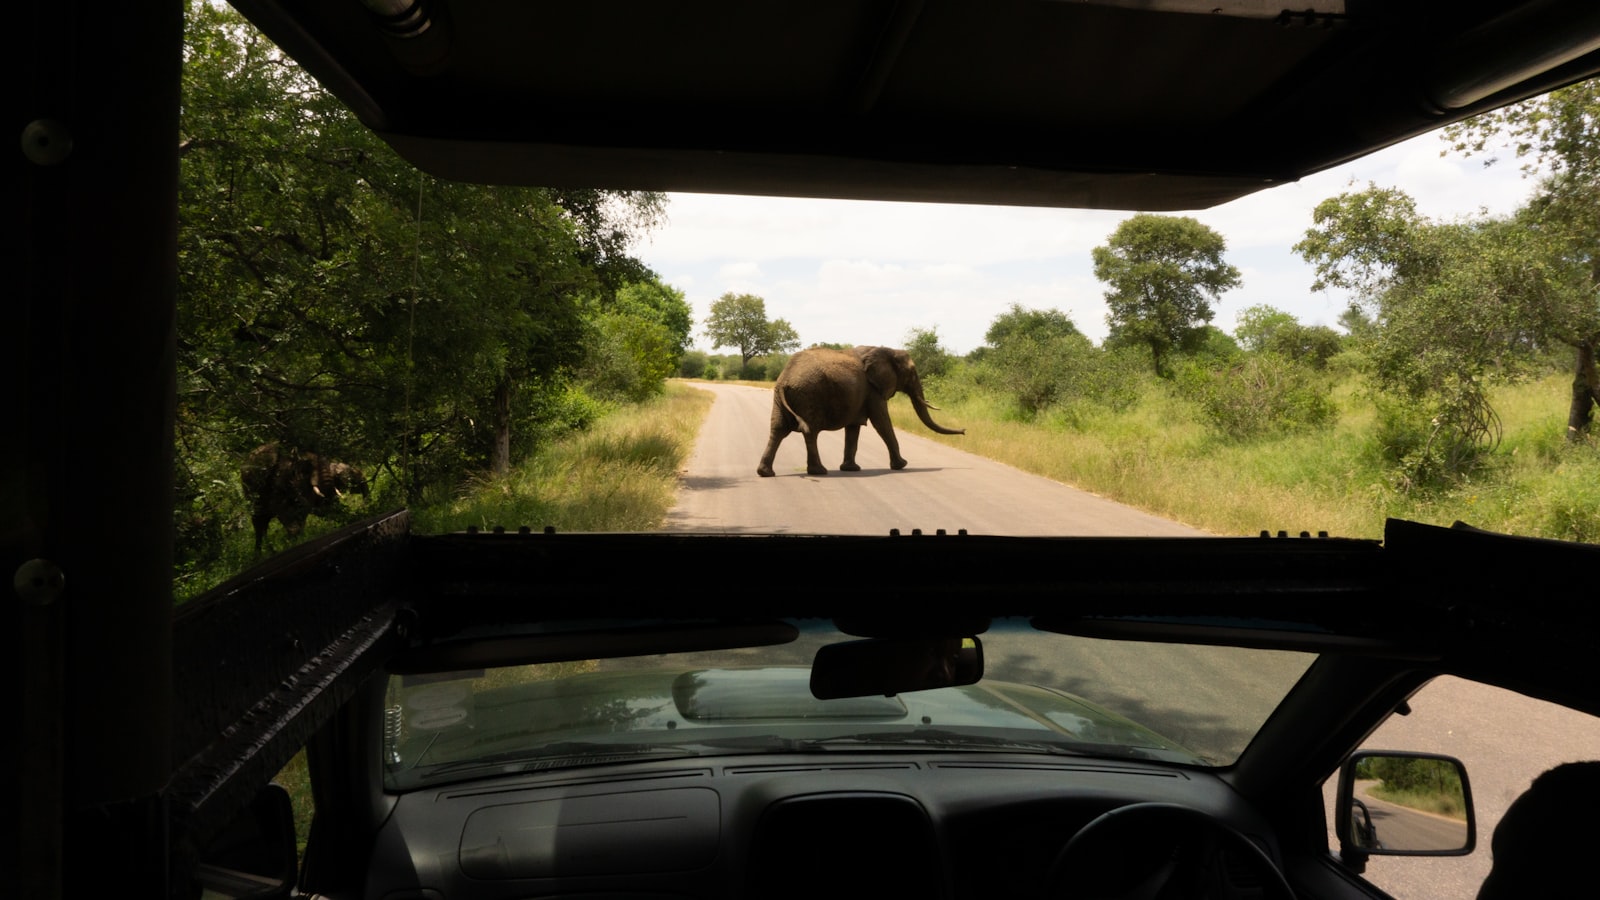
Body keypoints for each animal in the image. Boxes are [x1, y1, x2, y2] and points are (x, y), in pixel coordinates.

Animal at [757, 346, 965, 477]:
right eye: (912, 373)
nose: (964, 431)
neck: (886, 349)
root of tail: (785, 379)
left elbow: (854, 427)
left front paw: (851, 469)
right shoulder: (873, 391)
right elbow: (881, 422)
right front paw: (902, 465)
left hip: (781, 399)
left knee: (778, 430)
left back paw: (765, 473)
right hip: (809, 395)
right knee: (810, 432)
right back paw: (819, 471)